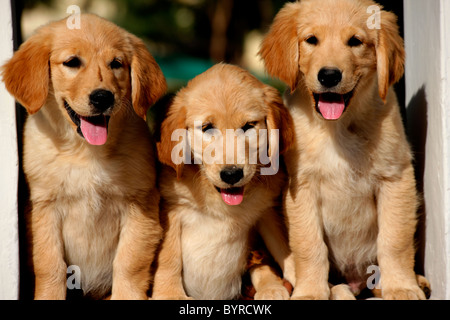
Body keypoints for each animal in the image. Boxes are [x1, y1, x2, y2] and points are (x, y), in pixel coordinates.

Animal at [0, 14, 166, 300]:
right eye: (72, 62)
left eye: (116, 64)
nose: (102, 97)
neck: (85, 152)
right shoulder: (43, 207)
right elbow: (50, 264)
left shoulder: (140, 204)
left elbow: (129, 262)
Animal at [152, 63, 296, 300]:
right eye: (207, 127)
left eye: (248, 126)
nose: (231, 174)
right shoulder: (171, 208)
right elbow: (168, 256)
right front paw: (169, 294)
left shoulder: (267, 211)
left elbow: (284, 246)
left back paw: (270, 287)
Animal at [260, 0, 428, 300]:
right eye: (312, 40)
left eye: (355, 41)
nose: (329, 75)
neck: (337, 128)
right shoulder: (301, 186)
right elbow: (309, 246)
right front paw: (310, 292)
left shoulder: (396, 177)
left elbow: (395, 240)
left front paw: (402, 286)